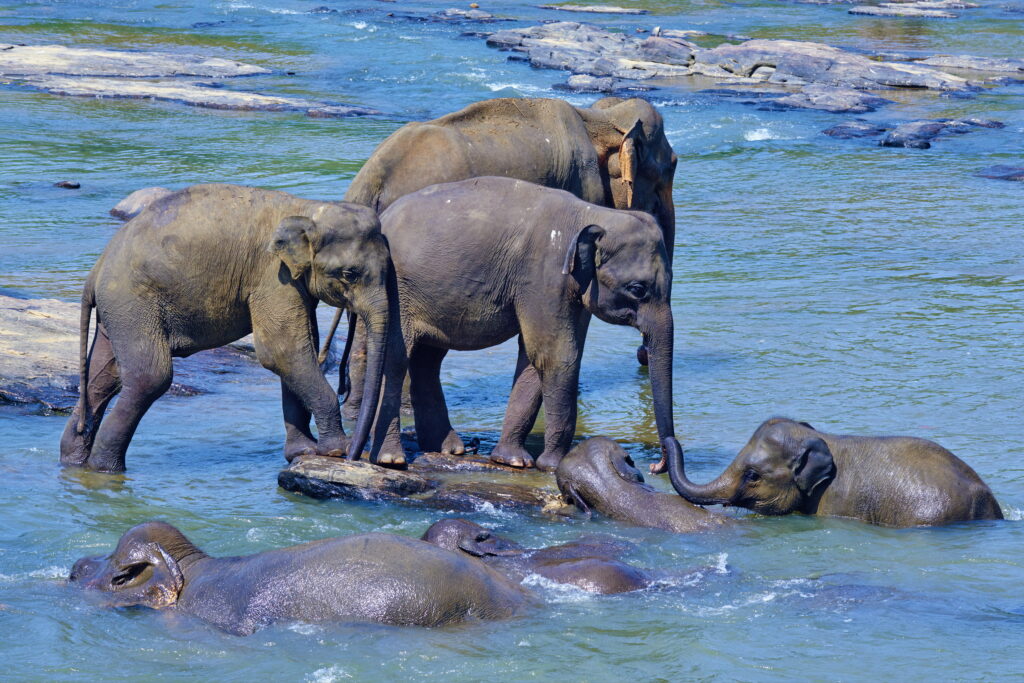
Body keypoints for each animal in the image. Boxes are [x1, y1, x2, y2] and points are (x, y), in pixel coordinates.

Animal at [58, 184, 390, 473]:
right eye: (350, 274)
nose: (355, 455)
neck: (309, 210)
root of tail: (97, 268)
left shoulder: (293, 284)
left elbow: (299, 350)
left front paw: (303, 451)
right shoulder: (272, 277)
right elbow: (281, 351)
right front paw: (334, 450)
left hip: (119, 311)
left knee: (104, 378)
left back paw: (74, 462)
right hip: (133, 303)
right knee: (150, 378)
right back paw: (106, 469)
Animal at [330, 95, 678, 420]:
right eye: (669, 169)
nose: (642, 354)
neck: (598, 118)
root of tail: (371, 182)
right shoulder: (583, 189)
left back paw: (355, 410)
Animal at [369, 176, 677, 471]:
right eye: (637, 289)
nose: (655, 466)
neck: (592, 213)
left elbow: (534, 357)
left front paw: (512, 460)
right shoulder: (543, 275)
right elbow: (557, 356)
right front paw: (553, 465)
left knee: (427, 359)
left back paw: (449, 449)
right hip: (400, 291)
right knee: (399, 356)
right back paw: (392, 458)